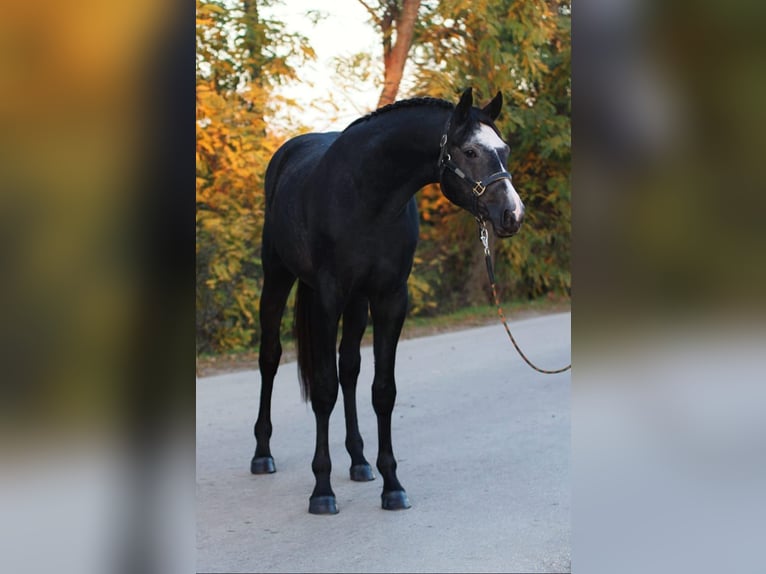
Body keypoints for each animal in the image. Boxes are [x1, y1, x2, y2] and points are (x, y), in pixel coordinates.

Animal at [249, 88, 524, 516]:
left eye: (505, 149)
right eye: (470, 151)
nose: (512, 214)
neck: (366, 196)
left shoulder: (390, 298)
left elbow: (382, 390)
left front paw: (392, 484)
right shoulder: (327, 298)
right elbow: (323, 390)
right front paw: (322, 491)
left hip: (356, 304)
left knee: (349, 369)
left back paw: (359, 461)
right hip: (278, 278)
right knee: (270, 358)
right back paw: (263, 454)